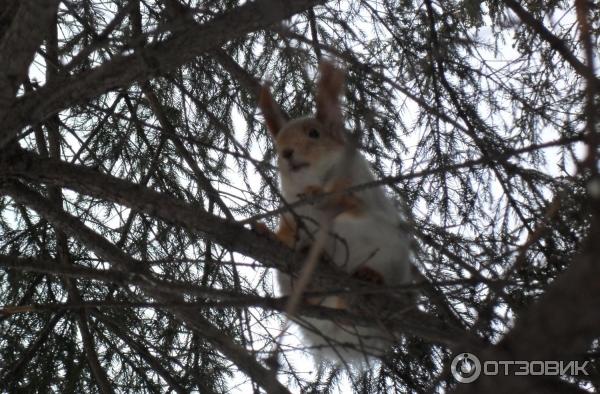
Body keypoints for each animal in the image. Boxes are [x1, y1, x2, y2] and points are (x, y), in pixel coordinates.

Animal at [258, 61, 412, 366]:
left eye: (314, 134)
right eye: (277, 142)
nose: (286, 153)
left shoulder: (360, 189)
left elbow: (347, 201)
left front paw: (319, 193)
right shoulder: (291, 217)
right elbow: (285, 237)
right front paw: (264, 231)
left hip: (386, 254)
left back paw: (368, 276)